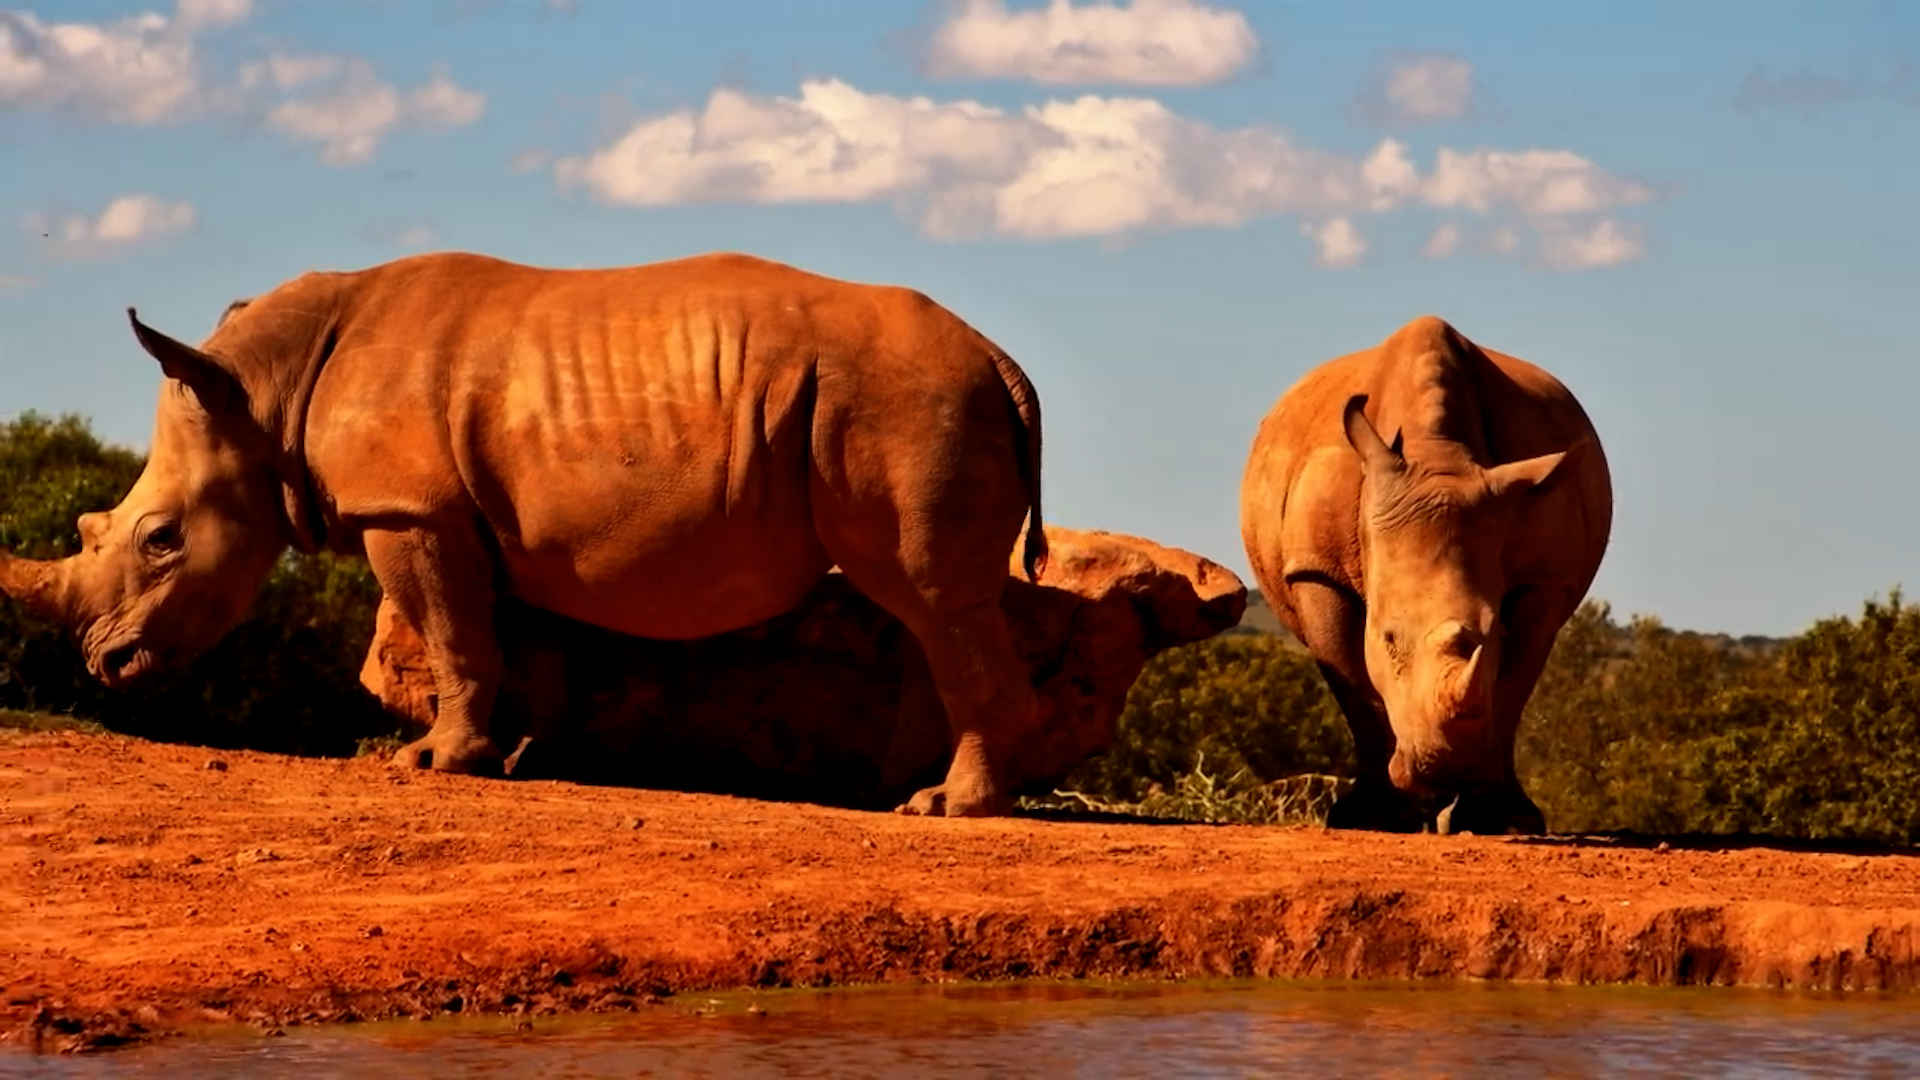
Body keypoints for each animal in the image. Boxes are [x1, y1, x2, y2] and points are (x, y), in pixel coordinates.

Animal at [0, 250, 1048, 818]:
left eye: (160, 540)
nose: (104, 663)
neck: (265, 395)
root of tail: (1002, 357)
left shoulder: (408, 508)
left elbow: (450, 634)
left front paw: (430, 765)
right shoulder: (491, 520)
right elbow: (510, 641)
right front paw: (517, 759)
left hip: (908, 404)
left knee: (934, 600)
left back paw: (946, 812)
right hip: (902, 400)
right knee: (936, 613)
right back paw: (919, 791)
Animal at [1239, 315, 1612, 835]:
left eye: (1497, 635)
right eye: (1389, 638)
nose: (1446, 768)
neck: (1438, 456)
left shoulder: (1544, 576)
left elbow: (1513, 688)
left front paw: (1504, 820)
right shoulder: (1317, 570)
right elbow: (1355, 688)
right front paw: (1369, 817)